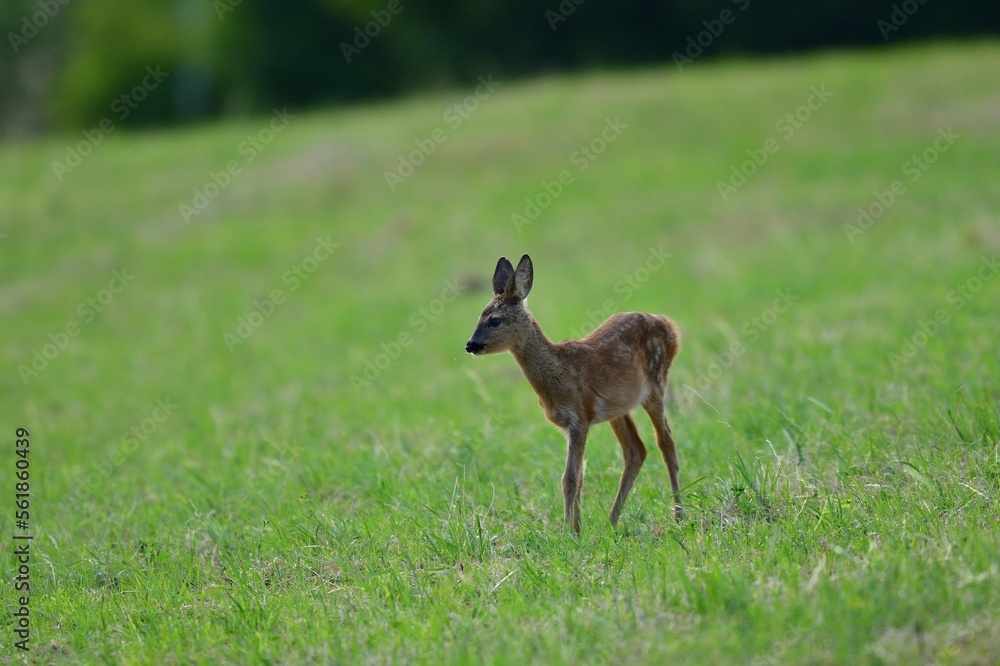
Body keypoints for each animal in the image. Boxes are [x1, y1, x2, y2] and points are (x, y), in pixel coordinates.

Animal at [464, 254, 682, 534]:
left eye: (494, 320)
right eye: (479, 316)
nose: (470, 344)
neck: (560, 373)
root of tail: (669, 325)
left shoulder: (580, 416)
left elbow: (570, 477)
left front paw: (569, 532)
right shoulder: (571, 423)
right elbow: (577, 476)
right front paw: (575, 528)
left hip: (656, 384)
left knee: (666, 442)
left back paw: (679, 516)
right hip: (618, 408)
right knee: (636, 451)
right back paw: (611, 522)